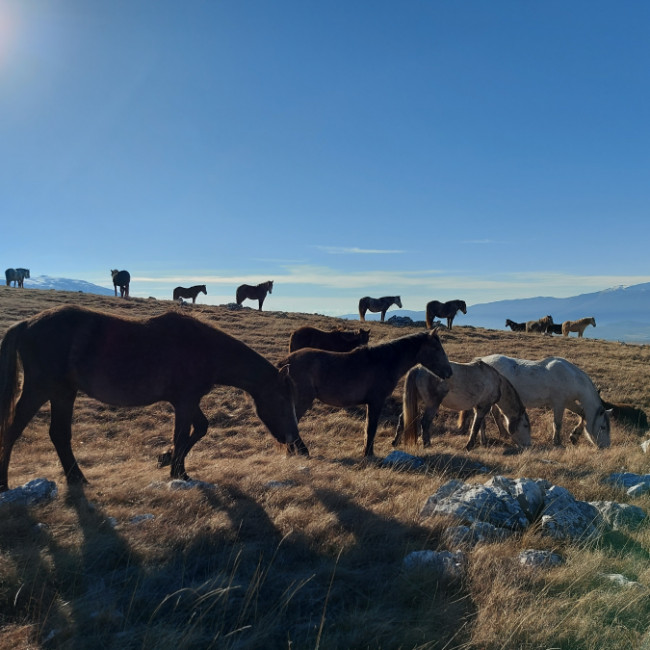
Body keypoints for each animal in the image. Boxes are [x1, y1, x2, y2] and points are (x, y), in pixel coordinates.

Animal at [278, 330, 450, 456]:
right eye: (436, 349)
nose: (450, 372)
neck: (383, 362)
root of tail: (287, 361)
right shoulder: (376, 402)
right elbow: (371, 428)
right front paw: (368, 453)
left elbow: (368, 428)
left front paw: (366, 451)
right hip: (303, 400)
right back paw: (301, 451)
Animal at [392, 360, 528, 450]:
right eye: (525, 425)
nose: (527, 445)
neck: (497, 381)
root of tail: (418, 369)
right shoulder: (484, 407)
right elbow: (475, 427)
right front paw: (469, 446)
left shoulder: (479, 407)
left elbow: (481, 426)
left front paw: (483, 443)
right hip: (432, 404)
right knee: (425, 422)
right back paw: (427, 444)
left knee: (402, 419)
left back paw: (395, 442)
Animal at [476, 352, 608, 448]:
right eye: (603, 427)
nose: (606, 446)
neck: (571, 377)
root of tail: (482, 360)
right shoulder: (559, 403)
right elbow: (557, 424)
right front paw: (557, 442)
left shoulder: (568, 402)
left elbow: (583, 414)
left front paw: (574, 435)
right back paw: (484, 440)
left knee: (495, 414)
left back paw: (503, 434)